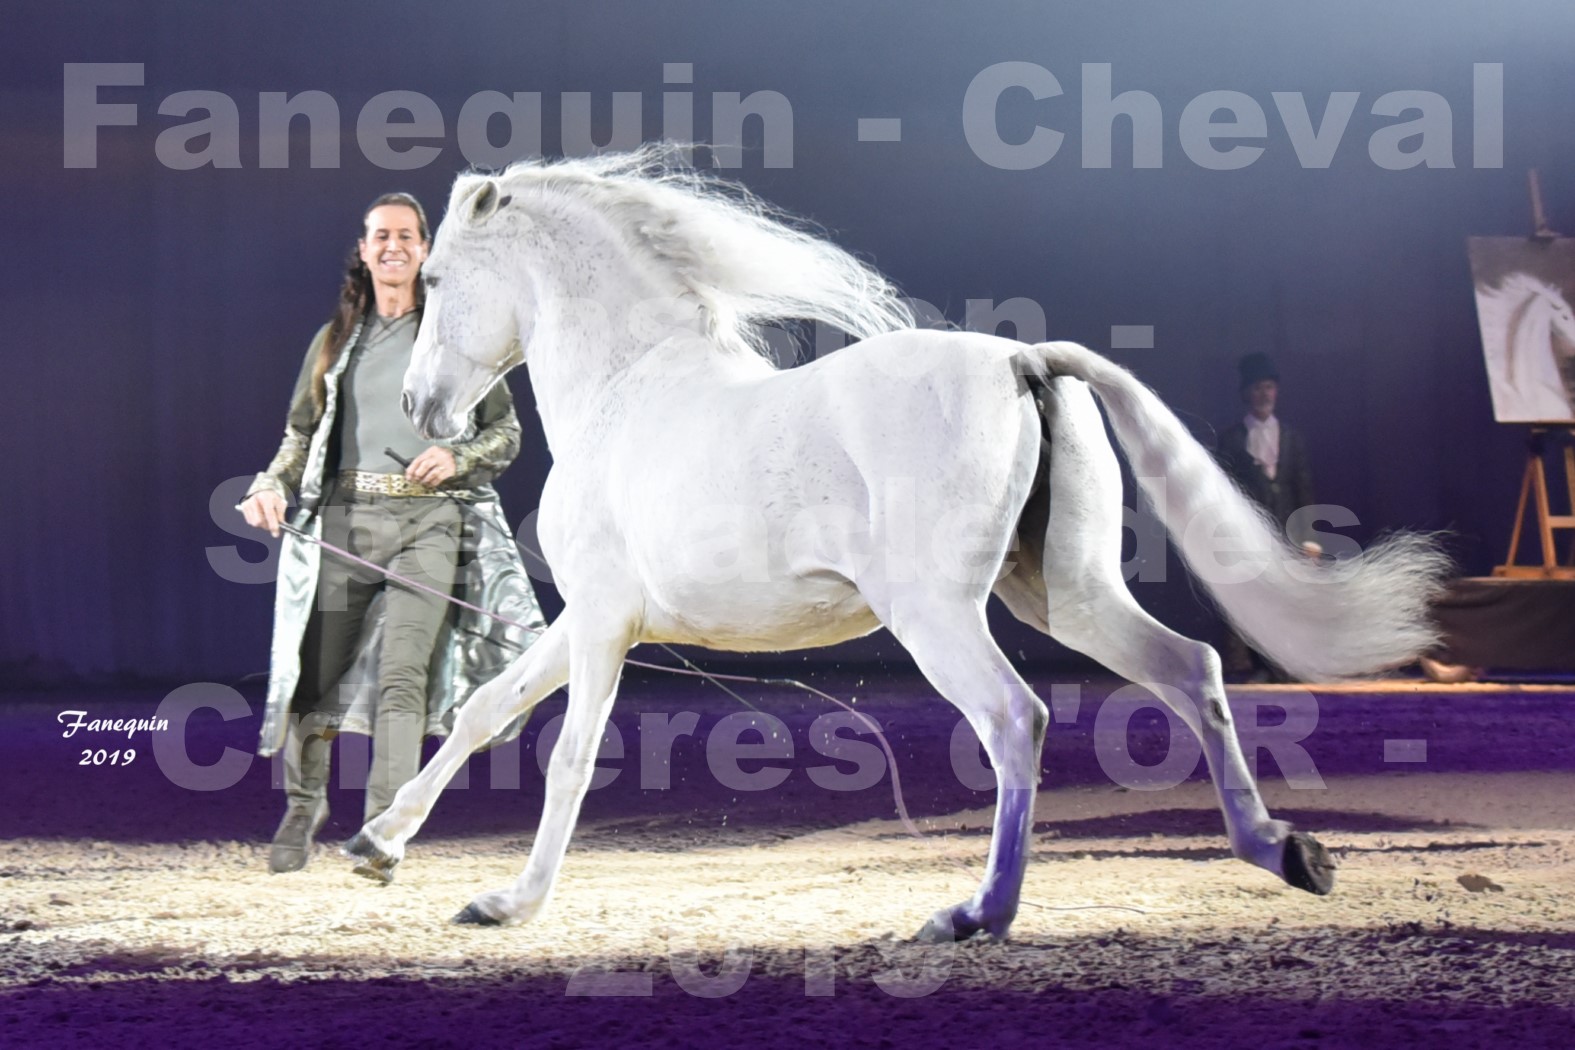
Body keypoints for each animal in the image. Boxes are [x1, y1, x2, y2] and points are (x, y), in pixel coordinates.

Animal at [348, 149, 1449, 944]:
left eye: (434, 274)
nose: (423, 411)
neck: (627, 388)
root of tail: (1020, 360)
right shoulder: (590, 618)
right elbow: (487, 708)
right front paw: (375, 845)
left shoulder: (605, 622)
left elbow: (570, 754)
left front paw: (507, 903)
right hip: (1068, 594)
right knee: (1193, 669)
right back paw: (1285, 853)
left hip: (935, 614)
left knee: (1015, 717)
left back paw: (976, 915)